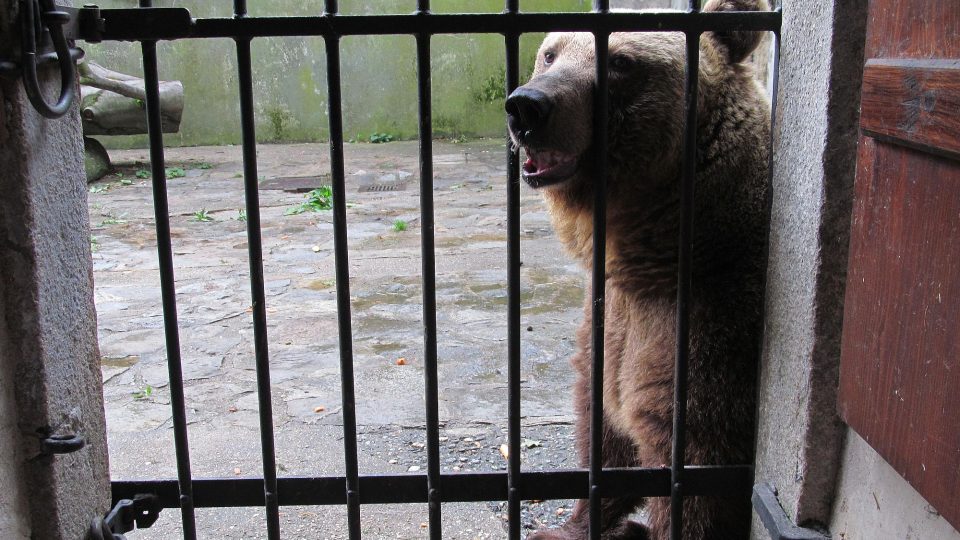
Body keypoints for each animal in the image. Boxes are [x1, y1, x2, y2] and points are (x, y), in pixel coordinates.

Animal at [502, 2, 772, 536]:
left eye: (622, 62)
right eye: (550, 53)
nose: (526, 106)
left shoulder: (709, 330)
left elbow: (692, 471)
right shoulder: (611, 322)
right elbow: (603, 426)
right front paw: (570, 524)